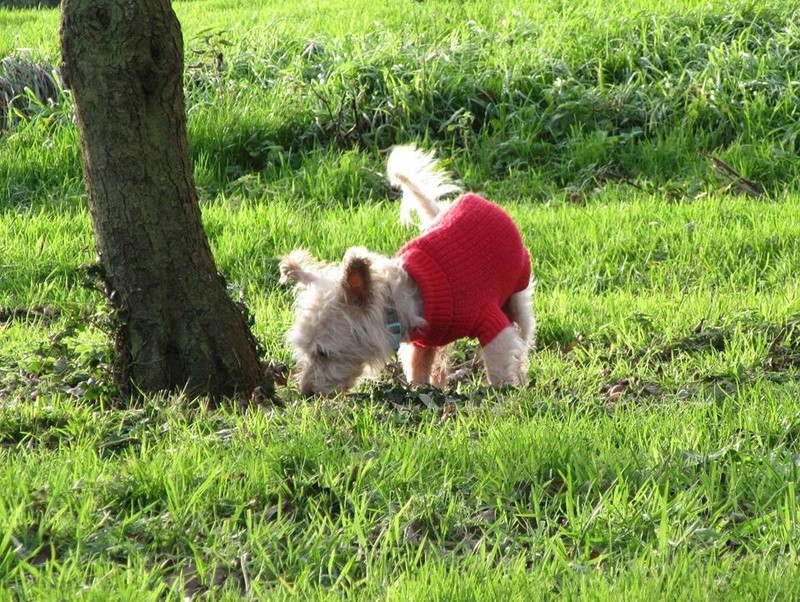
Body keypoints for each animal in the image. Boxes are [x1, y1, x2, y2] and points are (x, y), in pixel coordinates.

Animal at [278, 143, 536, 392]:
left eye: (323, 353)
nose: (306, 391)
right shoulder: (423, 340)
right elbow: (418, 367)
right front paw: (420, 390)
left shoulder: (491, 325)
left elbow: (499, 361)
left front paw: (503, 391)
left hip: (517, 295)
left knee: (523, 334)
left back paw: (522, 375)